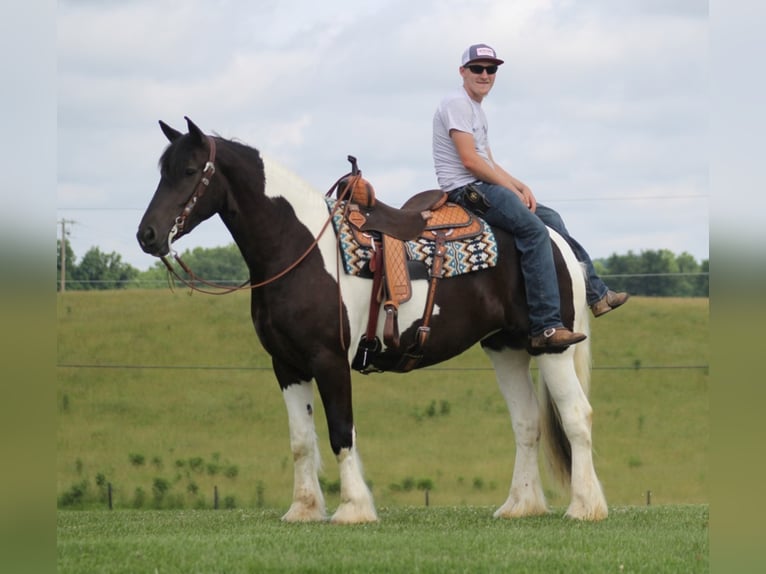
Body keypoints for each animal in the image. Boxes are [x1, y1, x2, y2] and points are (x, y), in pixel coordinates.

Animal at [135, 117, 608, 528]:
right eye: (162, 172)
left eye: (190, 170)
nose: (147, 235)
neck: (300, 248)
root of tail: (553, 238)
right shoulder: (286, 366)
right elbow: (301, 441)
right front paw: (303, 510)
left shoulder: (329, 360)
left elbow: (340, 432)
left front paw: (353, 509)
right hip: (505, 347)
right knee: (527, 423)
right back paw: (520, 505)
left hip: (551, 345)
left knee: (576, 416)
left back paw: (585, 507)